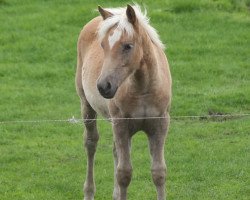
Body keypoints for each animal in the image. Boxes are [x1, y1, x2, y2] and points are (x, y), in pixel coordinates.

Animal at [75, 4, 171, 200]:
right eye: (102, 45)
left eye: (128, 46)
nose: (103, 86)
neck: (143, 89)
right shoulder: (121, 125)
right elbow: (124, 174)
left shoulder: (160, 125)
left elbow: (158, 172)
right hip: (87, 107)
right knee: (91, 143)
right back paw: (89, 192)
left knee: (114, 150)